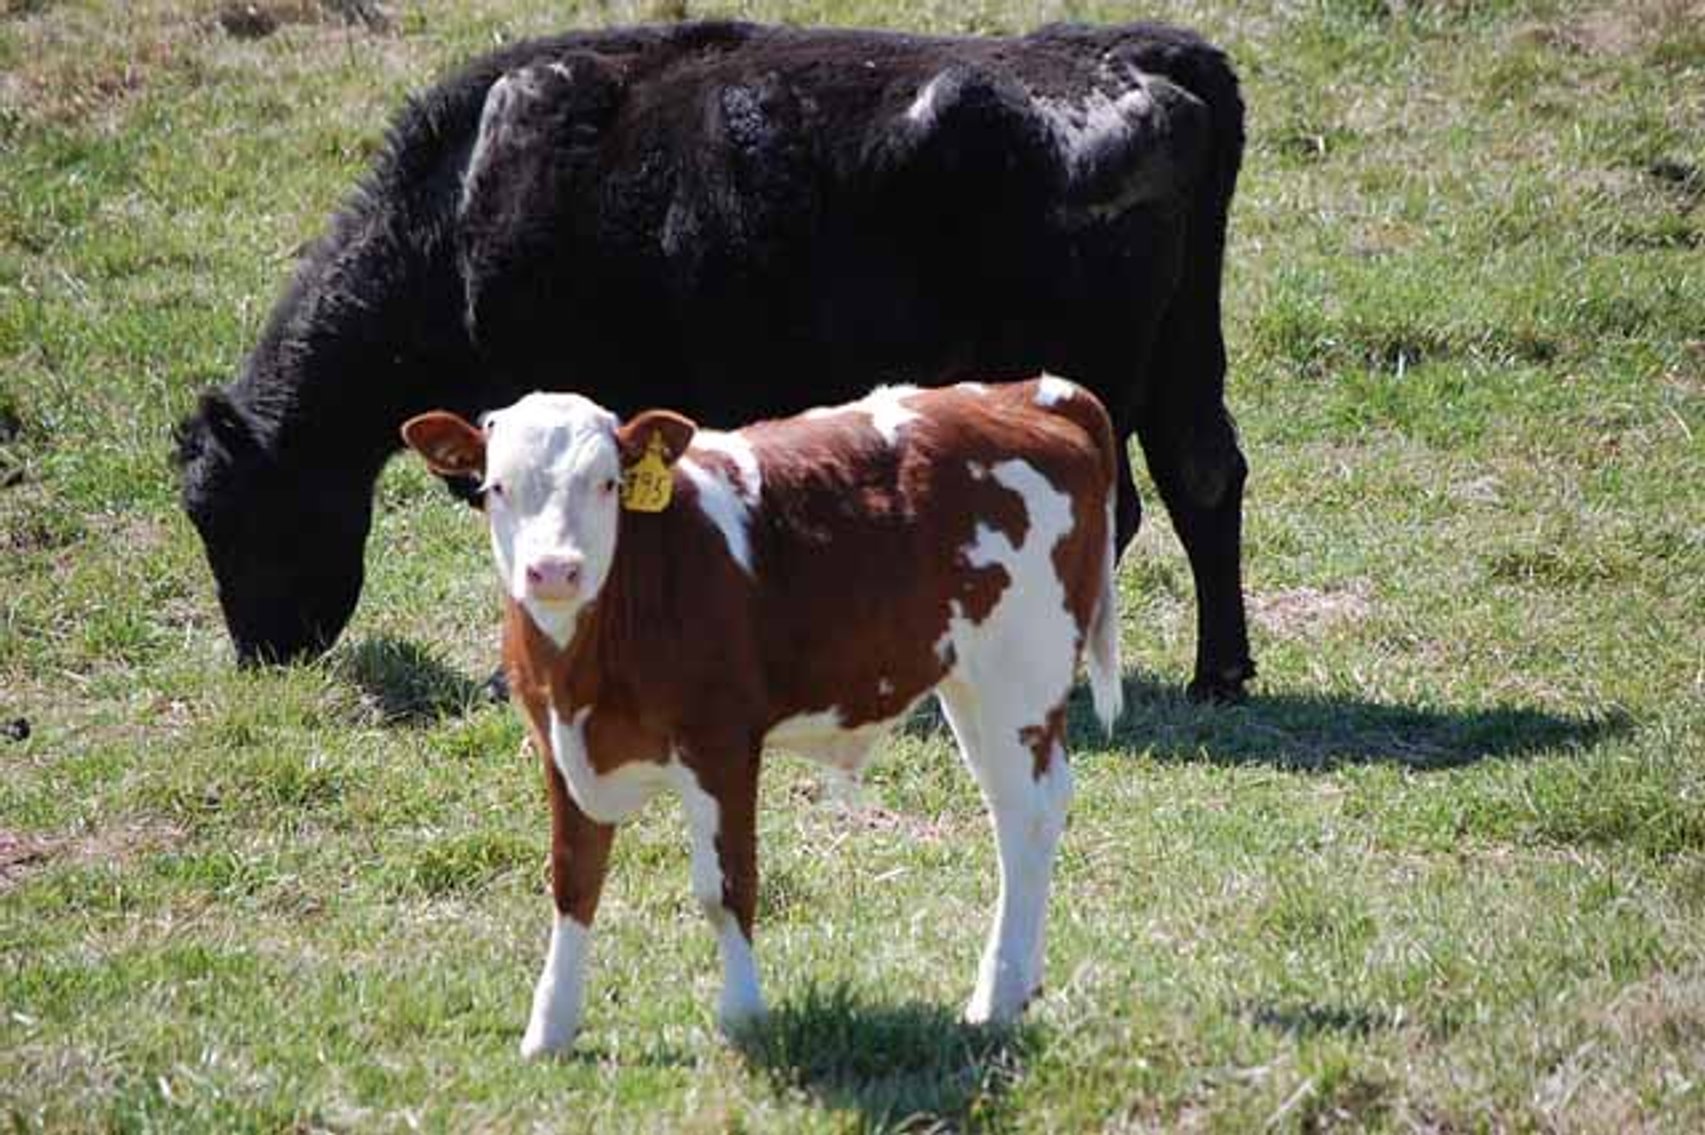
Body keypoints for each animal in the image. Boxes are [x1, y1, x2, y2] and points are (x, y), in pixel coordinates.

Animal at [174, 19, 1256, 701]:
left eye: (223, 512)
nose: (262, 652)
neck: (461, 205)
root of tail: (1140, 55)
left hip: (1083, 378)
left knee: (1115, 510)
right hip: (1179, 361)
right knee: (1203, 474)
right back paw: (1219, 676)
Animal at [399, 375, 1122, 1054]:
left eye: (606, 483)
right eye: (496, 487)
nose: (553, 570)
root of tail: (1026, 393)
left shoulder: (720, 742)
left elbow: (724, 886)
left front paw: (743, 1015)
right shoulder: (558, 744)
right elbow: (573, 880)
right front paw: (549, 1028)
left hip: (1020, 675)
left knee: (1027, 812)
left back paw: (993, 997)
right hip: (971, 683)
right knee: (1020, 809)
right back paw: (1019, 981)